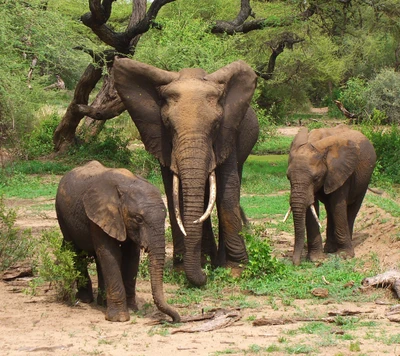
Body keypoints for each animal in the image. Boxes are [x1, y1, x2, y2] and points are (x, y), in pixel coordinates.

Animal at [55, 161, 180, 322]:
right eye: (138, 219)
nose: (173, 319)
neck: (126, 185)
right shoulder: (99, 216)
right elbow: (111, 254)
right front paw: (119, 319)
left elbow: (131, 256)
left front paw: (132, 310)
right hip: (61, 214)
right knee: (76, 251)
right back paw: (85, 300)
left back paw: (102, 303)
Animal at [112, 58, 260, 286]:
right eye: (168, 125)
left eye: (216, 125)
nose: (205, 277)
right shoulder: (163, 142)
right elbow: (175, 193)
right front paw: (182, 270)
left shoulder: (227, 134)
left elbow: (227, 193)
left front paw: (236, 271)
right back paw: (208, 260)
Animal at [286, 124, 376, 266]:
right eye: (288, 177)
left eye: (316, 178)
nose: (295, 264)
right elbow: (312, 207)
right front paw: (316, 259)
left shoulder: (340, 172)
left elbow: (338, 206)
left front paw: (345, 256)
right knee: (330, 210)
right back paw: (329, 249)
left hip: (364, 180)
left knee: (351, 209)